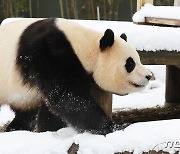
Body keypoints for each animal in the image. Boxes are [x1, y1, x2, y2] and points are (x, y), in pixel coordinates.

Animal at [0, 18, 152, 135]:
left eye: (138, 60)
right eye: (130, 63)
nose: (149, 76)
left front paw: (49, 129)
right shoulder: (49, 54)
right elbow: (68, 98)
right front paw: (115, 127)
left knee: (26, 113)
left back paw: (15, 128)